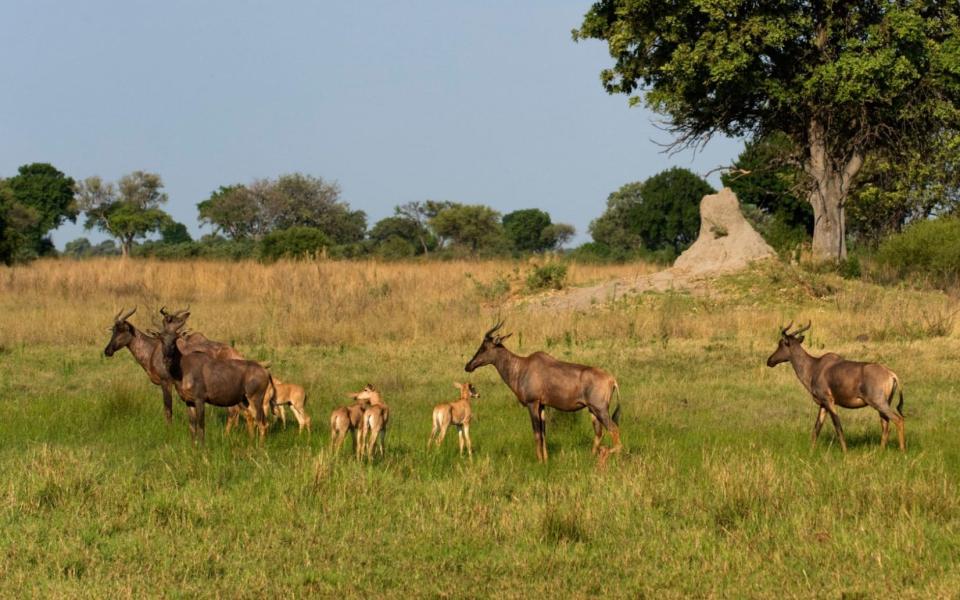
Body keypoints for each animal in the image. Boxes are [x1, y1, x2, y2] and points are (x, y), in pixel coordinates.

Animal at [464, 318, 624, 464]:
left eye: (484, 347)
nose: (468, 366)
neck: (522, 367)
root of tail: (612, 379)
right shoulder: (542, 405)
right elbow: (543, 433)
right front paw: (546, 460)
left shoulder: (532, 403)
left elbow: (536, 433)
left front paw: (539, 461)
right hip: (592, 410)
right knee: (599, 432)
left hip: (600, 409)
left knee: (614, 430)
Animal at [764, 322, 908, 452]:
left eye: (781, 343)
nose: (769, 361)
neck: (816, 366)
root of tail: (891, 374)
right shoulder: (823, 404)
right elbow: (817, 427)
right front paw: (811, 451)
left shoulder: (829, 401)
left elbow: (837, 425)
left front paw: (845, 452)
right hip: (883, 404)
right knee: (885, 423)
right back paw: (881, 451)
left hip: (878, 403)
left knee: (898, 420)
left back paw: (902, 451)